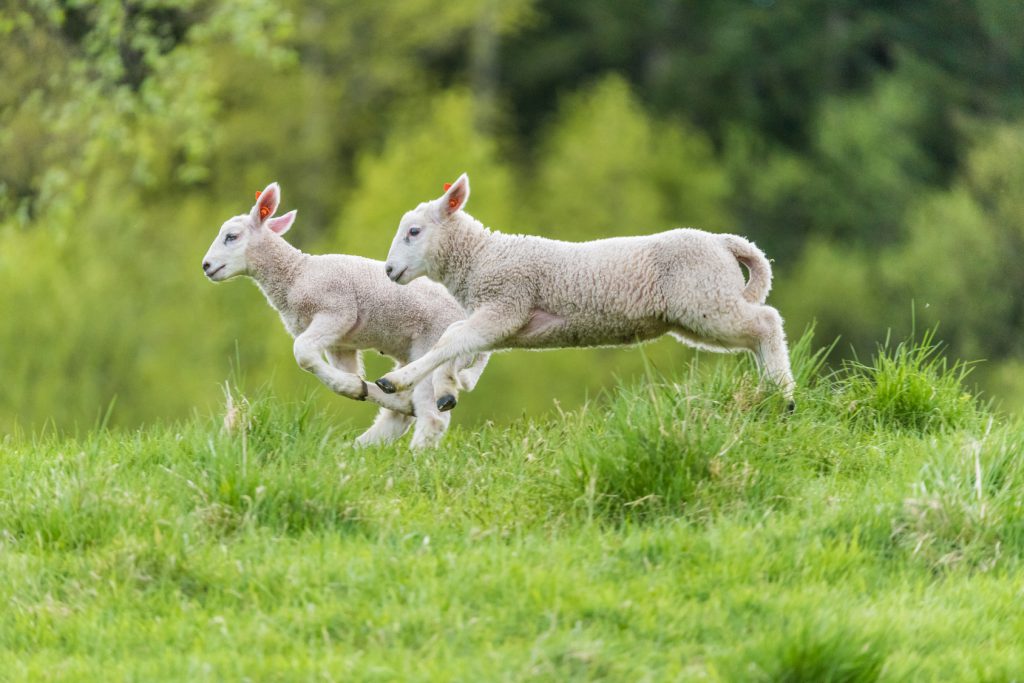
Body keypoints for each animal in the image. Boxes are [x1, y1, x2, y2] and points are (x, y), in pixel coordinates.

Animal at [201, 182, 489, 448]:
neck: (296, 274)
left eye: (231, 236)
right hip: (411, 353)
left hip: (433, 344)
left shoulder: (337, 310)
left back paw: (415, 455)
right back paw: (361, 444)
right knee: (403, 410)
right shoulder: (340, 344)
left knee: (432, 416)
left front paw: (353, 386)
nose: (206, 266)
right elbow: (336, 368)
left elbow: (302, 353)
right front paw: (355, 386)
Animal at [373, 173, 795, 410]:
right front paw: (447, 390)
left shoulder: (506, 303)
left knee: (767, 322)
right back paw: (769, 394)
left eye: (414, 231)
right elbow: (457, 343)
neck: (481, 256)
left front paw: (396, 381)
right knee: (755, 334)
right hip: (699, 309)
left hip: (705, 299)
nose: (389, 270)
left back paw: (785, 396)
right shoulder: (503, 321)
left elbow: (450, 339)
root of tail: (725, 242)